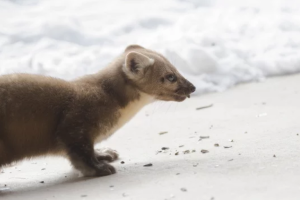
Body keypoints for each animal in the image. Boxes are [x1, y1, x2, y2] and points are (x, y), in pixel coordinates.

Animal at [0, 45, 195, 177]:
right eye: (170, 76)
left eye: (176, 68)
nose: (192, 87)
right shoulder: (75, 124)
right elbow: (81, 155)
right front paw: (101, 169)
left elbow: (89, 150)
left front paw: (105, 154)